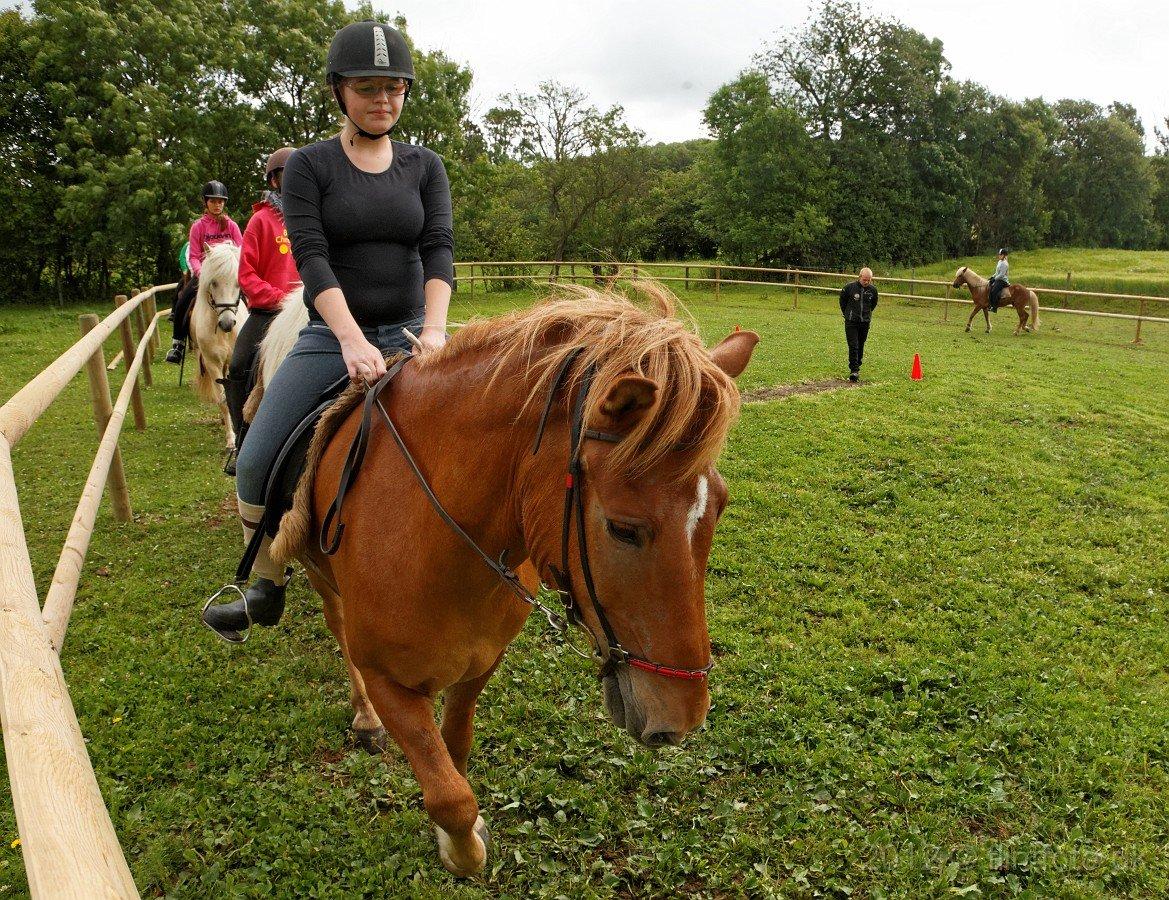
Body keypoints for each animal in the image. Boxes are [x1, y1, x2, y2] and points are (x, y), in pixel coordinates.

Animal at [191, 241, 248, 448]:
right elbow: (223, 400)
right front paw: (231, 439)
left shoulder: (231, 363)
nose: (227, 323)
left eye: (238, 283)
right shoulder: (212, 363)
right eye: (213, 282)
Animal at [247, 284, 757, 874]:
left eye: (719, 508)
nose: (684, 717)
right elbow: (449, 795)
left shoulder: (481, 661)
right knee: (337, 625)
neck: (439, 540)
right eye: (623, 529)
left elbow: (456, 749)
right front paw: (462, 849)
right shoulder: (388, 680)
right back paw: (363, 716)